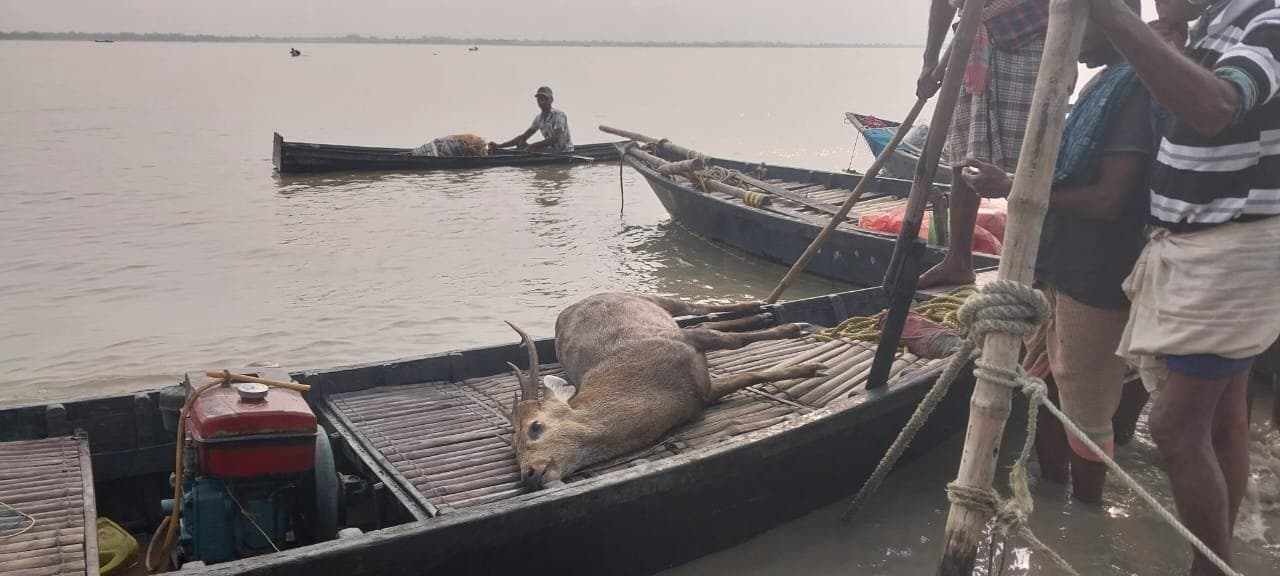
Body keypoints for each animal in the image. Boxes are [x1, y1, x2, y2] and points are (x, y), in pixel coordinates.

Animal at [504, 292, 827, 489]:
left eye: (535, 426)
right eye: (513, 450)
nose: (528, 475)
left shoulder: (683, 341)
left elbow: (735, 342)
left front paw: (796, 334)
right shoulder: (703, 394)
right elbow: (751, 373)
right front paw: (811, 367)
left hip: (648, 298)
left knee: (700, 311)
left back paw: (761, 308)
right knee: (709, 320)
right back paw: (760, 315)